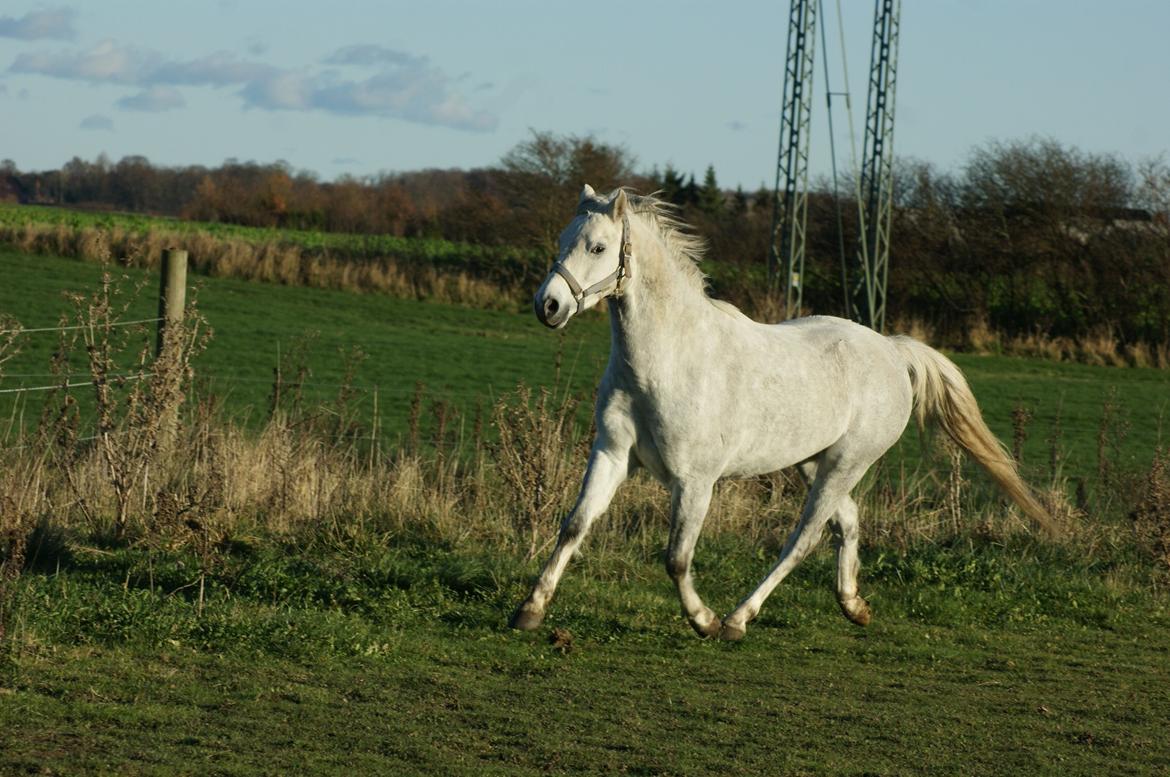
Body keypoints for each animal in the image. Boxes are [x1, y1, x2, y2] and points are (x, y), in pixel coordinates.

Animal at [512, 184, 1053, 641]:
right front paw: (529, 611)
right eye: (563, 240)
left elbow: (677, 558)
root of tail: (892, 350)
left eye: (598, 248)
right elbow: (575, 526)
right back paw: (853, 605)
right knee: (846, 523)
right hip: (813, 461)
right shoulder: (612, 454)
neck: (665, 362)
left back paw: (737, 619)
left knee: (804, 538)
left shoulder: (696, 480)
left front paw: (704, 620)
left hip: (847, 463)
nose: (549, 305)